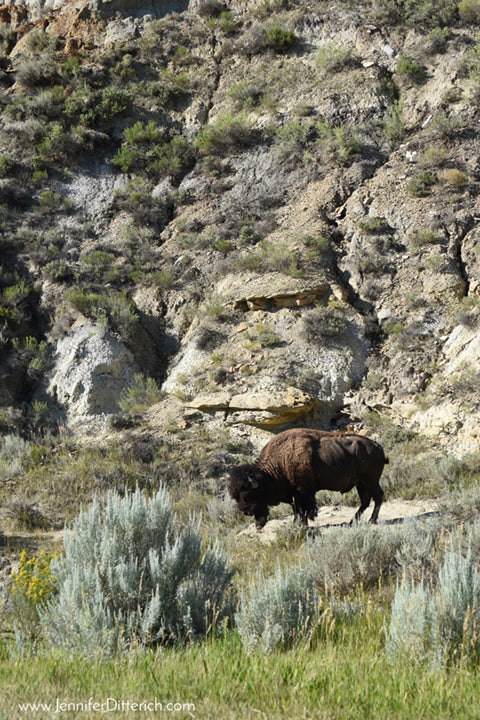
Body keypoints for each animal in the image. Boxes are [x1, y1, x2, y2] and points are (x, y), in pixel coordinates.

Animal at [227, 428, 388, 528]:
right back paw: (351, 522)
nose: (245, 511)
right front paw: (296, 524)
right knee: (365, 501)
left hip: (371, 480)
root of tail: (378, 447)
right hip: (361, 483)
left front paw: (301, 525)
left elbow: (302, 510)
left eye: (249, 494)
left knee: (378, 496)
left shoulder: (302, 492)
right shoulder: (294, 493)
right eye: (236, 496)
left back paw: (372, 520)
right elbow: (296, 510)